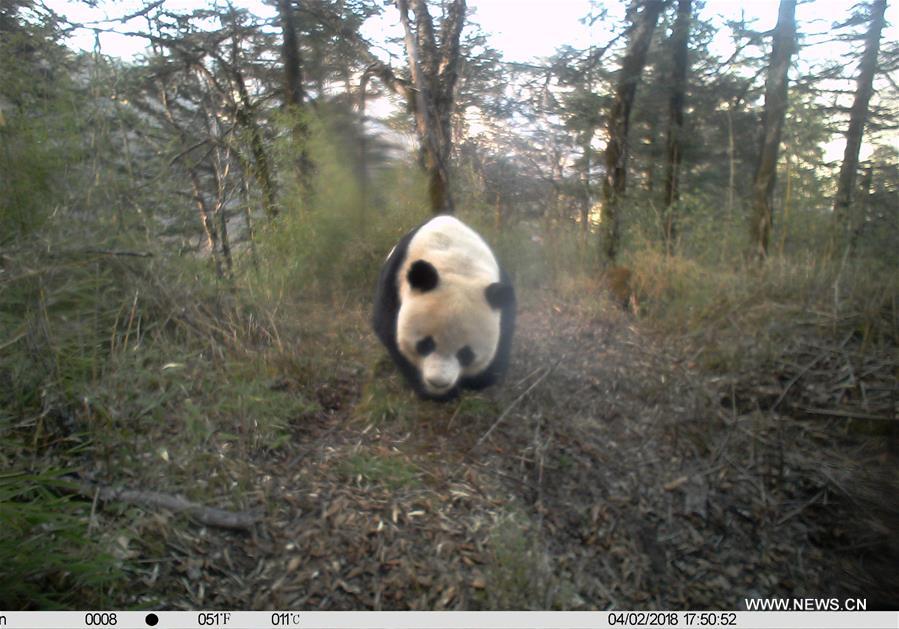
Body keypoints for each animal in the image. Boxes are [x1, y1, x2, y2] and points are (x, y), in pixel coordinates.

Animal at [372, 215, 516, 401]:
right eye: (425, 344)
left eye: (466, 354)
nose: (438, 383)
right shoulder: (394, 281)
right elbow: (389, 332)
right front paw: (431, 392)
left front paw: (479, 380)